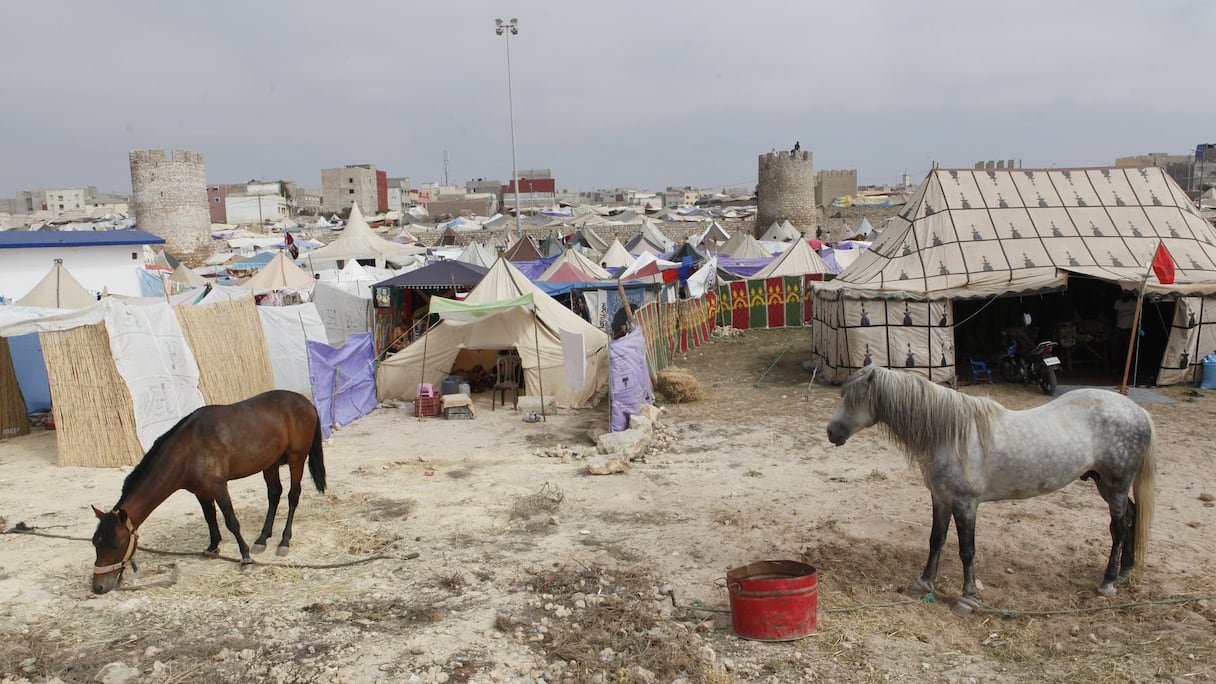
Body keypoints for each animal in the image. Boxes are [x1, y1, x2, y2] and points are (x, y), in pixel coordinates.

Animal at [89, 389, 325, 591]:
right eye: (95, 543)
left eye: (115, 545)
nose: (98, 587)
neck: (188, 449)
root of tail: (306, 402)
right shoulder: (200, 492)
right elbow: (210, 518)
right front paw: (213, 548)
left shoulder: (219, 487)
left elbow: (231, 522)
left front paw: (245, 557)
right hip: (270, 462)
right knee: (274, 494)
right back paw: (262, 539)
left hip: (296, 458)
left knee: (293, 496)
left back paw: (284, 541)